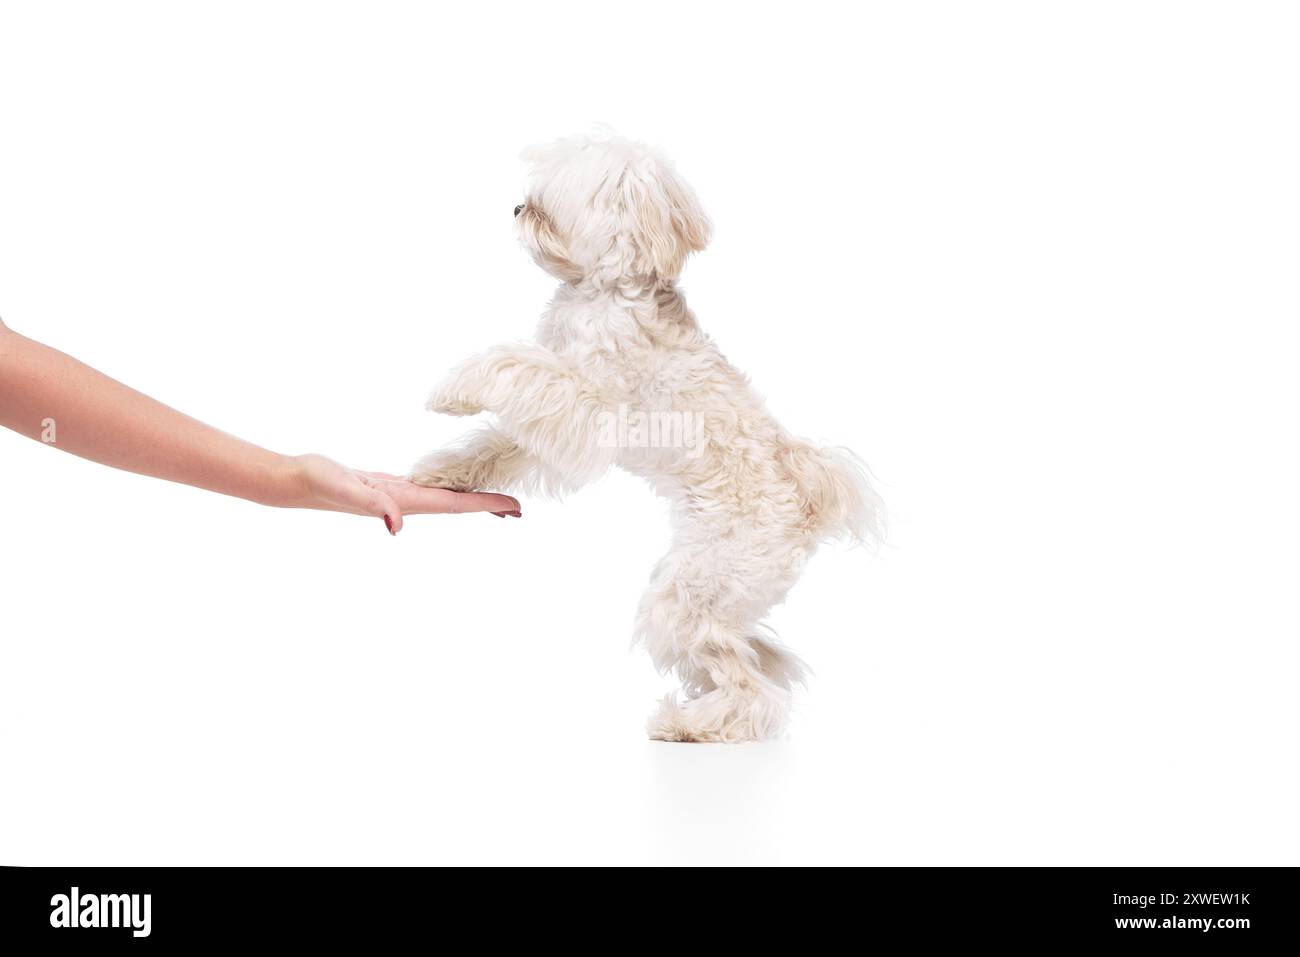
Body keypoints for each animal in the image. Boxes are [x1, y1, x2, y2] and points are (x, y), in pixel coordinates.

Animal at [413, 132, 883, 738]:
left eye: (547, 206)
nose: (516, 209)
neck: (605, 292)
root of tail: (806, 500)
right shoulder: (555, 414)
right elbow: (500, 443)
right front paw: (444, 474)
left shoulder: (585, 405)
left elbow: (511, 364)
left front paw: (454, 390)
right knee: (749, 658)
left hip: (688, 593)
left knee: (750, 689)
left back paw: (691, 726)